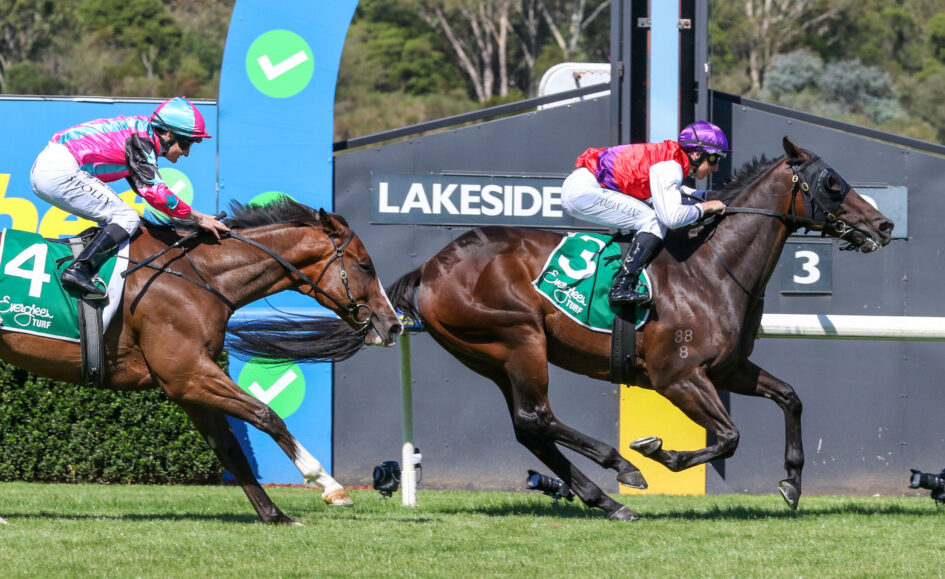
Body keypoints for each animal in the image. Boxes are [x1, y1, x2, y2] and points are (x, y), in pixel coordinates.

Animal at [0, 198, 402, 525]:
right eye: (365, 265)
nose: (393, 324)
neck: (201, 275)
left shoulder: (190, 384)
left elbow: (228, 447)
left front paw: (275, 515)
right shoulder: (187, 374)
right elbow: (266, 415)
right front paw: (329, 485)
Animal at [378, 137, 894, 520]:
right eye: (832, 182)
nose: (885, 225)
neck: (711, 268)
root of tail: (430, 267)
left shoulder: (728, 368)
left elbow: (790, 397)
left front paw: (792, 482)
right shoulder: (678, 376)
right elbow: (728, 437)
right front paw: (659, 452)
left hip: (492, 358)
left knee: (529, 427)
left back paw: (607, 500)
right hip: (519, 339)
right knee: (538, 417)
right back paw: (622, 466)